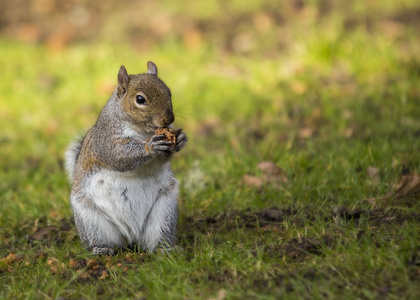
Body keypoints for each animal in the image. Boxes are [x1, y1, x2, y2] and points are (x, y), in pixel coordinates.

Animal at [64, 62, 189, 254]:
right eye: (140, 99)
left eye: (168, 92)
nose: (169, 119)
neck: (144, 131)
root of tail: (132, 239)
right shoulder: (107, 138)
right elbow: (118, 155)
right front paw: (150, 147)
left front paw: (181, 139)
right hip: (92, 221)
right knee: (105, 240)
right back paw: (102, 249)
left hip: (164, 213)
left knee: (155, 240)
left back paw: (164, 250)